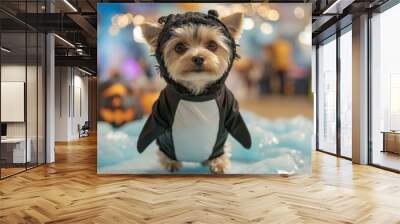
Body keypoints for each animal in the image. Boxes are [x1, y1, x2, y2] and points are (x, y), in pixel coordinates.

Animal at [138, 10, 250, 173]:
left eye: (212, 45)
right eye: (179, 47)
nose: (198, 58)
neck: (197, 93)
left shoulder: (228, 114)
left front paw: (219, 163)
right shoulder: (161, 114)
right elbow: (152, 131)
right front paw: (170, 163)